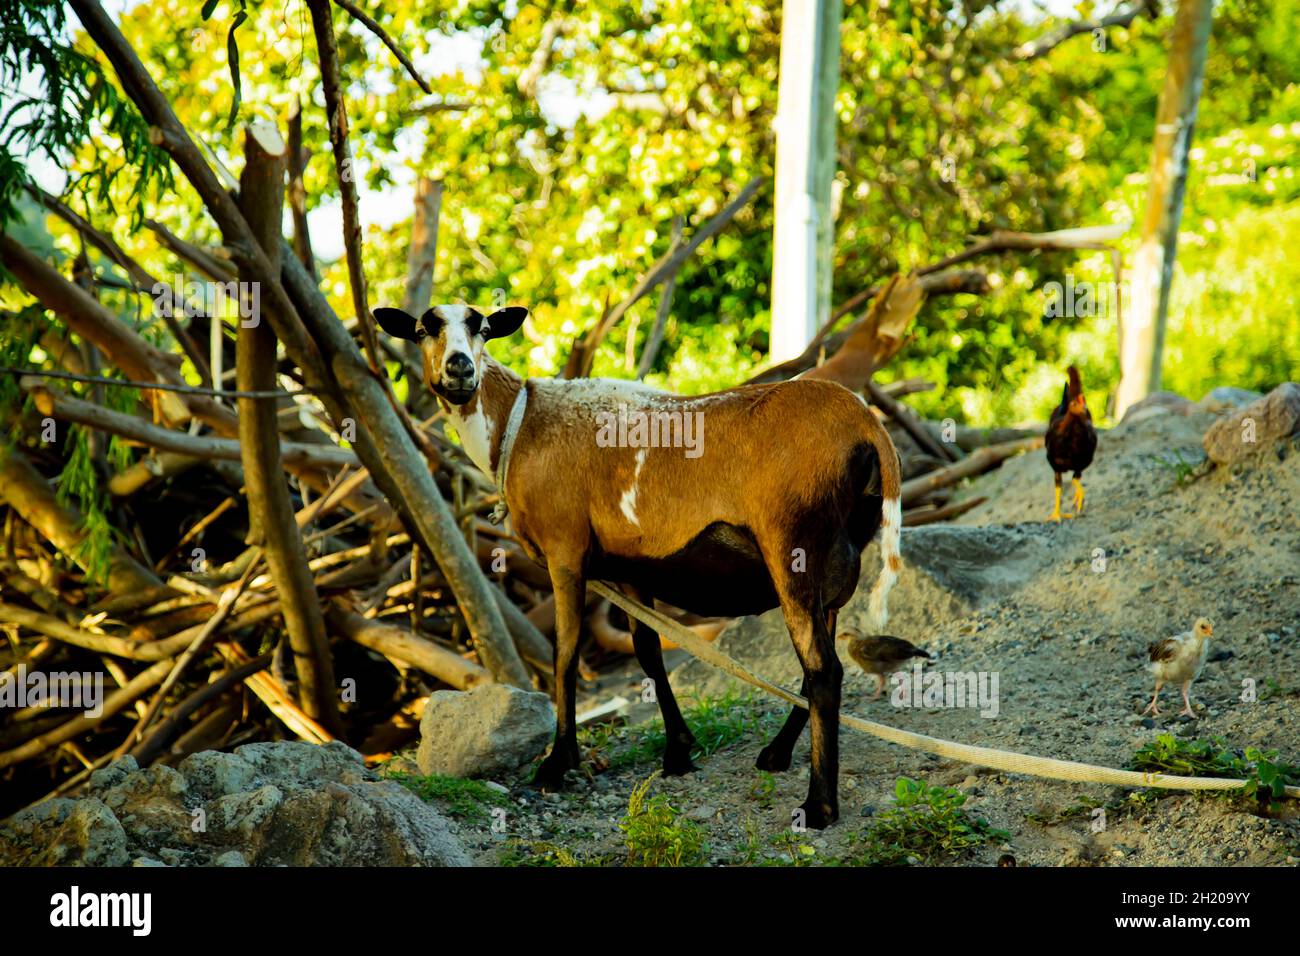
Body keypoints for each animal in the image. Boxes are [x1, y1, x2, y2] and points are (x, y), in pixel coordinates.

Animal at [374, 304, 902, 829]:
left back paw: (819, 805)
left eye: (482, 328)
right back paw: (776, 754)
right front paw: (679, 752)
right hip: (837, 553)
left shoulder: (566, 551)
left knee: (822, 669)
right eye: (423, 329)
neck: (517, 427)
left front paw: (556, 764)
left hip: (792, 542)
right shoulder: (627, 568)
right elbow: (648, 653)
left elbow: (565, 654)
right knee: (819, 661)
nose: (460, 369)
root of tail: (867, 424)